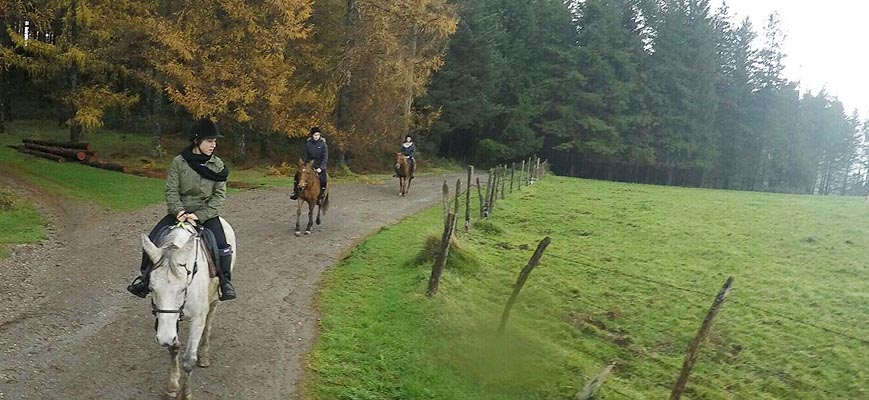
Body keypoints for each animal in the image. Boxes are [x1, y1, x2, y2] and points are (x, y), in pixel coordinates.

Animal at [142, 219, 237, 400]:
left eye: (183, 288)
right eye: (151, 288)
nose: (164, 338)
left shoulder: (197, 318)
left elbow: (188, 360)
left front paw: (185, 394)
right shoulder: (166, 322)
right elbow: (173, 348)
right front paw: (172, 388)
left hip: (214, 299)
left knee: (209, 322)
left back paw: (204, 355)